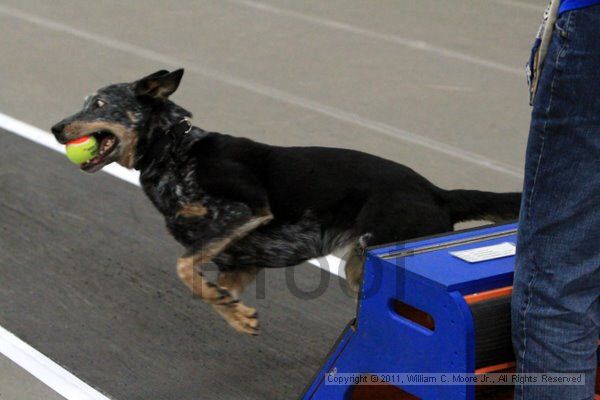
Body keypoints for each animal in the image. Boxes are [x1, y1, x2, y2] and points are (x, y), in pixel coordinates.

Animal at [52, 69, 520, 334]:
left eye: (98, 103)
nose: (57, 128)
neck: (175, 150)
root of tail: (437, 191)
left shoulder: (246, 210)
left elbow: (184, 266)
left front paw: (233, 312)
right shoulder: (240, 262)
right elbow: (207, 289)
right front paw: (236, 315)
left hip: (372, 260)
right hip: (360, 266)